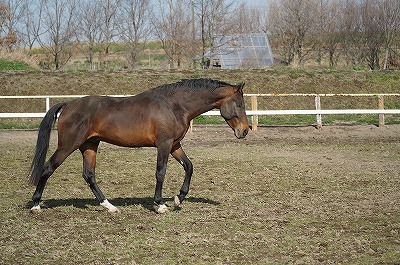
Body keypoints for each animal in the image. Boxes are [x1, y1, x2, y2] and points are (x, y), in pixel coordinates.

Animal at [29, 78, 250, 212]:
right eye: (239, 104)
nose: (245, 131)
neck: (175, 106)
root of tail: (68, 104)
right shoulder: (164, 145)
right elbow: (161, 173)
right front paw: (160, 204)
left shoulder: (175, 145)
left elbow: (189, 166)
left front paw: (179, 197)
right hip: (68, 146)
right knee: (48, 168)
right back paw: (36, 204)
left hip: (89, 146)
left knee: (89, 175)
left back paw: (109, 206)